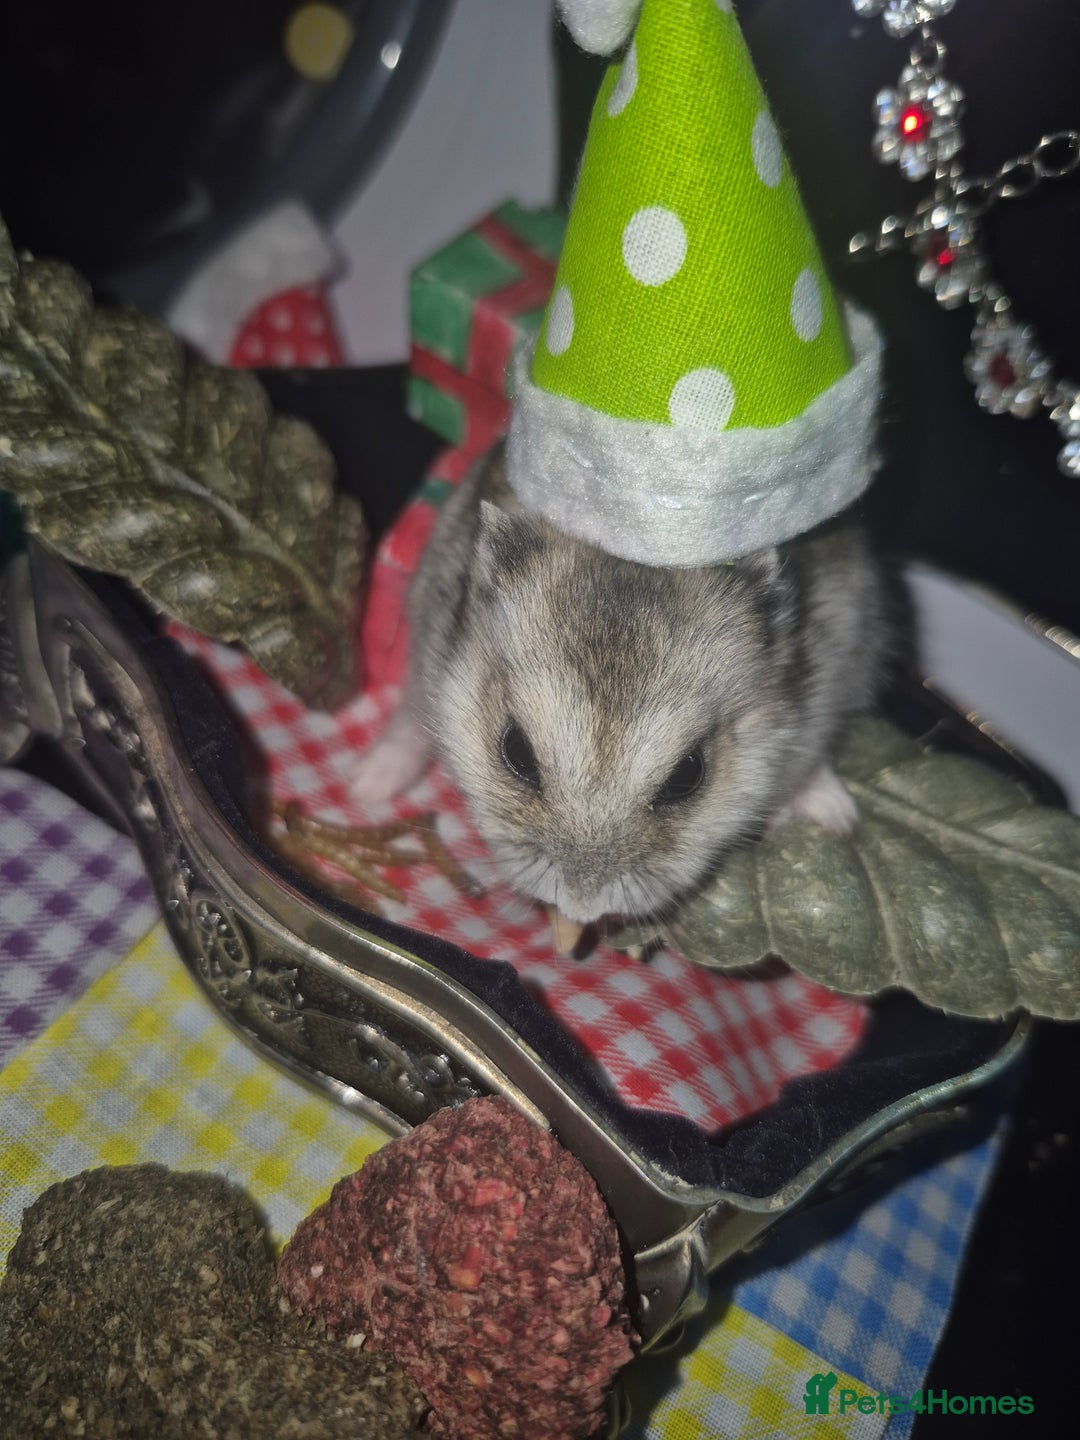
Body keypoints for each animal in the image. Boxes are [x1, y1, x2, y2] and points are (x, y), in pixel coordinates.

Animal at [349, 442, 885, 925]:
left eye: (688, 776)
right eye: (516, 751)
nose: (580, 909)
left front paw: (839, 818)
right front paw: (365, 789)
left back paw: (837, 813)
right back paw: (370, 783)